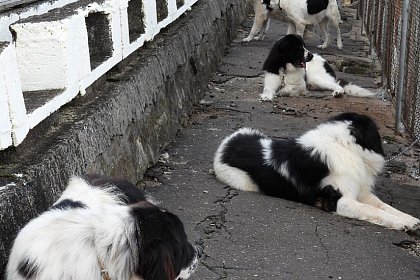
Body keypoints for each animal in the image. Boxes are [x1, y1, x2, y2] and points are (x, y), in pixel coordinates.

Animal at [215, 112, 420, 235]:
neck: (342, 144)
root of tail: (225, 144)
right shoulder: (340, 201)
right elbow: (372, 210)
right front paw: (403, 224)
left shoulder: (361, 192)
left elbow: (383, 206)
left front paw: (410, 219)